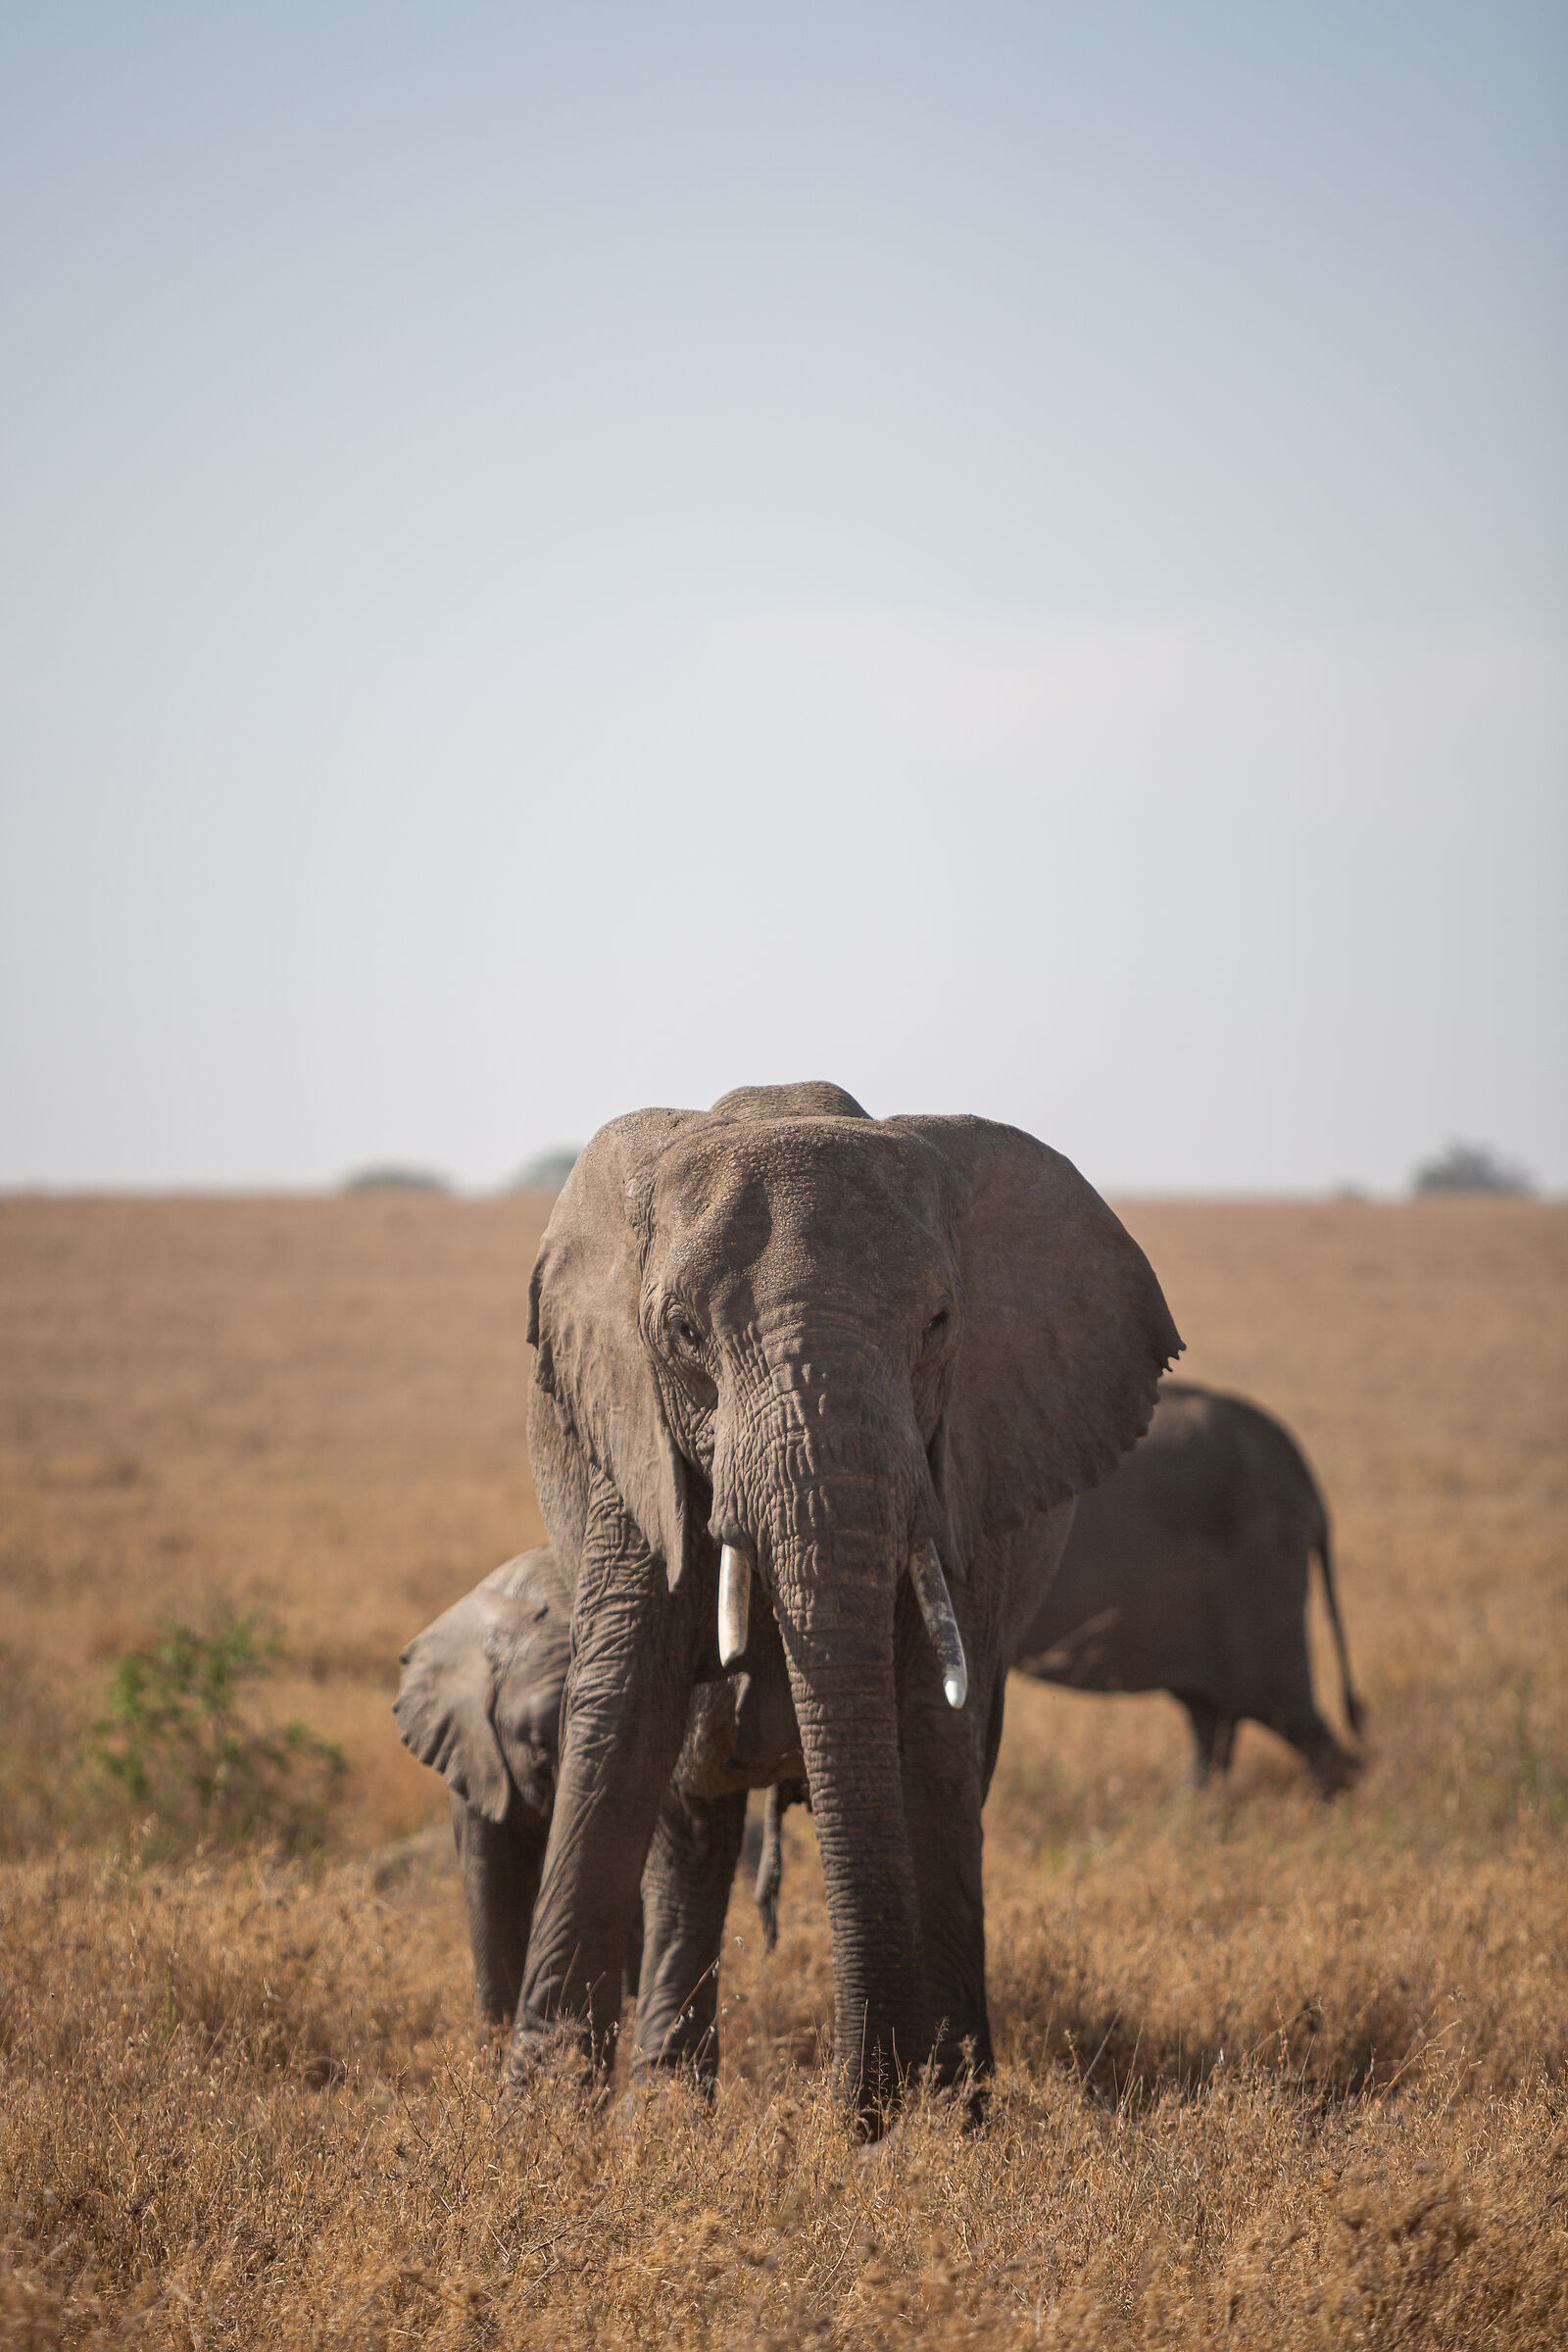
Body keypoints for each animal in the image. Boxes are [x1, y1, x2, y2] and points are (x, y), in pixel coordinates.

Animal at [488, 1079, 1178, 2131]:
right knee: (689, 1823)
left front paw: (948, 2126)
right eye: (682, 1333)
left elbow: (931, 1735)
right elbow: (620, 1713)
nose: (854, 2108)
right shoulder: (631, 1447)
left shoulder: (960, 1471)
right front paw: (538, 2124)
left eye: (939, 1322)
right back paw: (668, 2111)